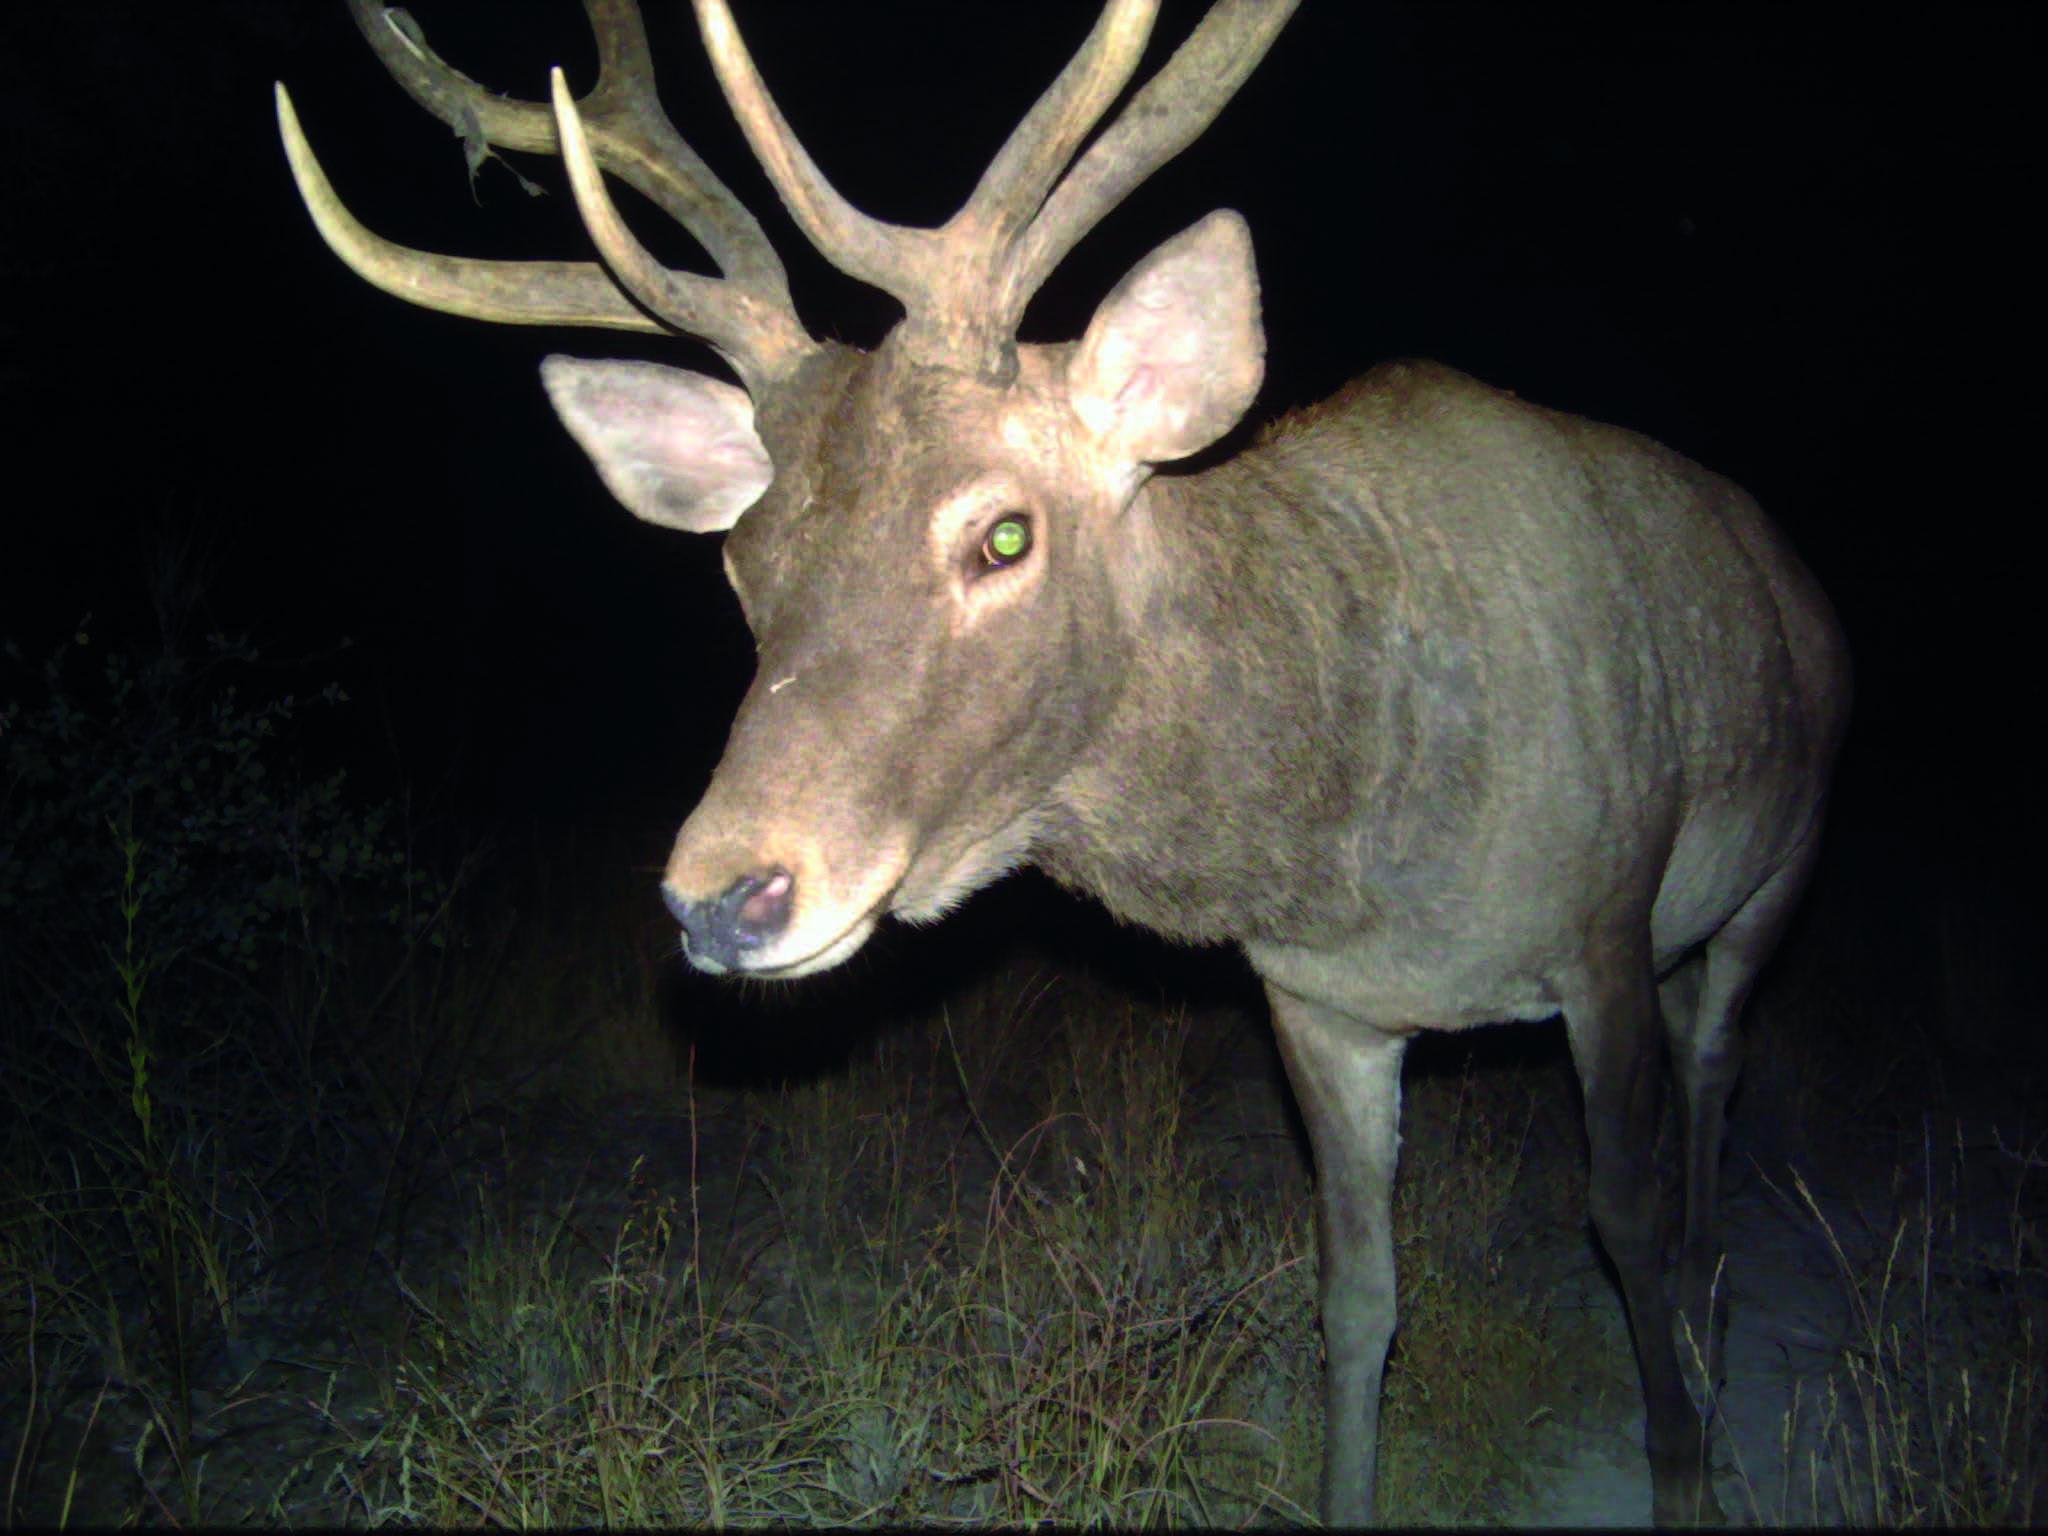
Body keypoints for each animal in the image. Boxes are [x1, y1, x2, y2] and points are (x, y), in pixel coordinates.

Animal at [276, 0, 1859, 1531]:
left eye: (1002, 532)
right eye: (742, 567)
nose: (720, 898)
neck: (1361, 848)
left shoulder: (1602, 923)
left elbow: (1625, 1219)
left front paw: (1686, 1468)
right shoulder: (1320, 1007)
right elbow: (1356, 1296)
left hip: (1774, 871)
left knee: (1716, 1088)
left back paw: (1712, 1306)